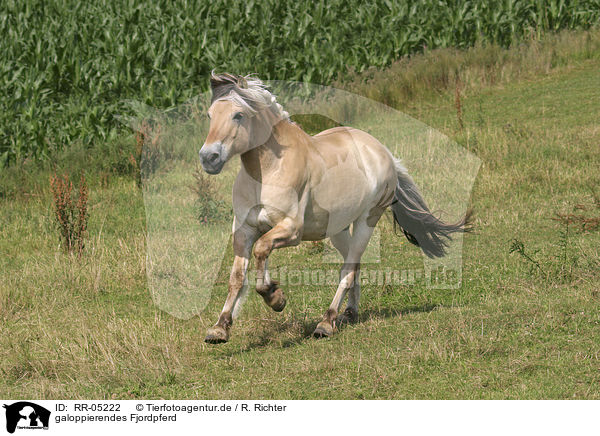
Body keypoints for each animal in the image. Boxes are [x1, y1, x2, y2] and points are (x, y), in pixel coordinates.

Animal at [199, 72, 472, 344]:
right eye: (210, 115)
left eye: (238, 115)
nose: (208, 158)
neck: (268, 171)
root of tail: (383, 152)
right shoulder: (244, 229)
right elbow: (237, 277)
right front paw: (220, 328)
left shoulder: (291, 230)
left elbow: (261, 250)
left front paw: (275, 298)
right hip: (338, 230)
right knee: (354, 266)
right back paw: (349, 313)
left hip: (366, 222)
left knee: (348, 271)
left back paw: (326, 322)